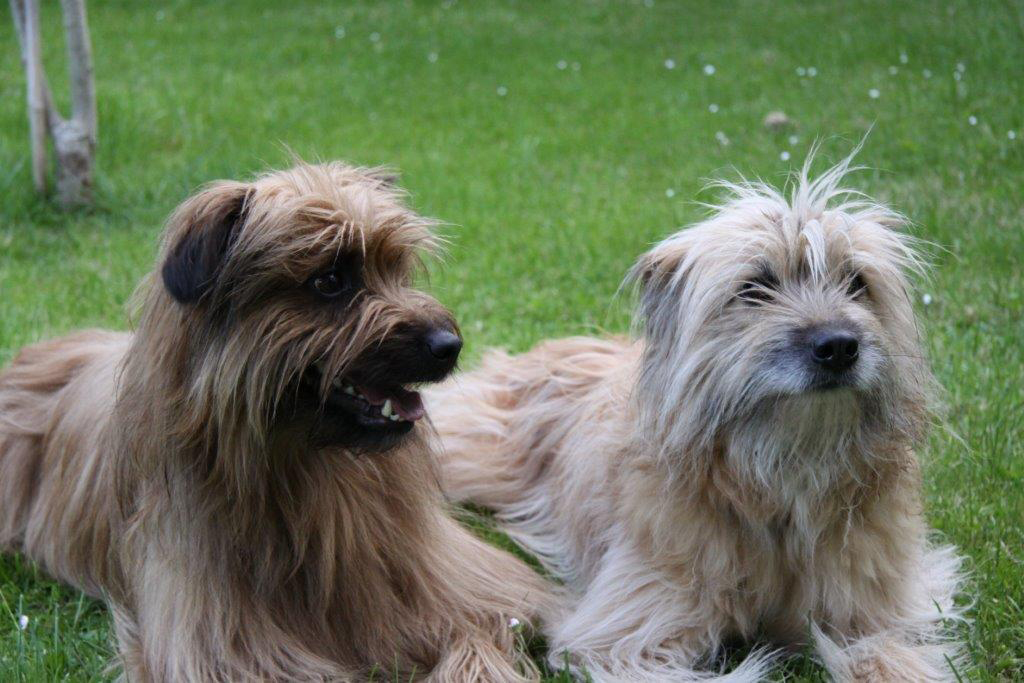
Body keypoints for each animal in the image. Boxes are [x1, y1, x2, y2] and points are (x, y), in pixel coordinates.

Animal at [0, 162, 553, 681]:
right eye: (329, 281)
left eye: (397, 267)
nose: (449, 346)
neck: (316, 473)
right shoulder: (224, 649)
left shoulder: (466, 589)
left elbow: (479, 632)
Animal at [427, 154, 965, 681]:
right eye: (755, 288)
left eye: (857, 283)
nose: (838, 347)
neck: (783, 472)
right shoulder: (625, 634)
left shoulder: (882, 611)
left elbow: (888, 652)